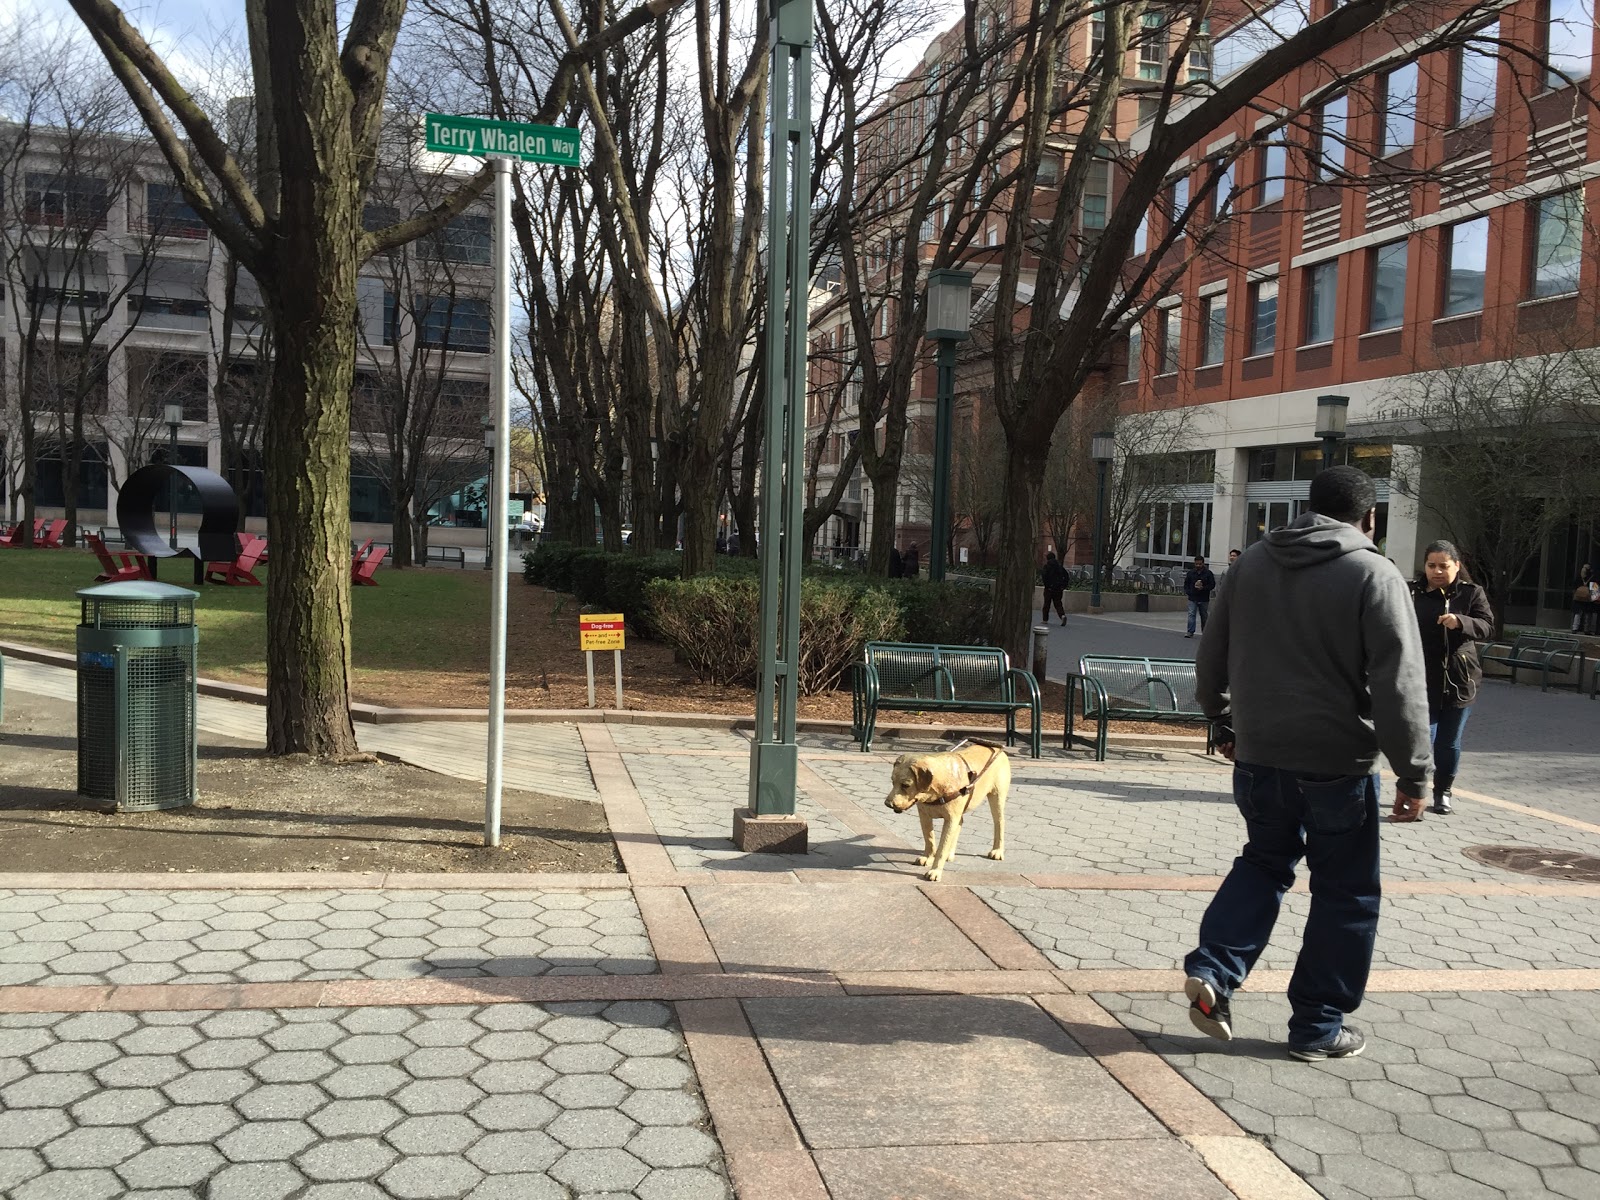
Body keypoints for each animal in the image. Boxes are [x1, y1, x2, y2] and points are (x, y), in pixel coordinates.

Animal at [883, 742, 1004, 883]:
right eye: (892, 782)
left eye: (905, 785)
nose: (887, 803)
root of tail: (997, 747)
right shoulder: (924, 815)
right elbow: (929, 839)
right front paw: (928, 858)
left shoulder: (950, 819)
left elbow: (942, 847)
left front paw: (935, 871)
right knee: (960, 822)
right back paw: (950, 854)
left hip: (997, 798)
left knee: (999, 822)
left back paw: (997, 851)